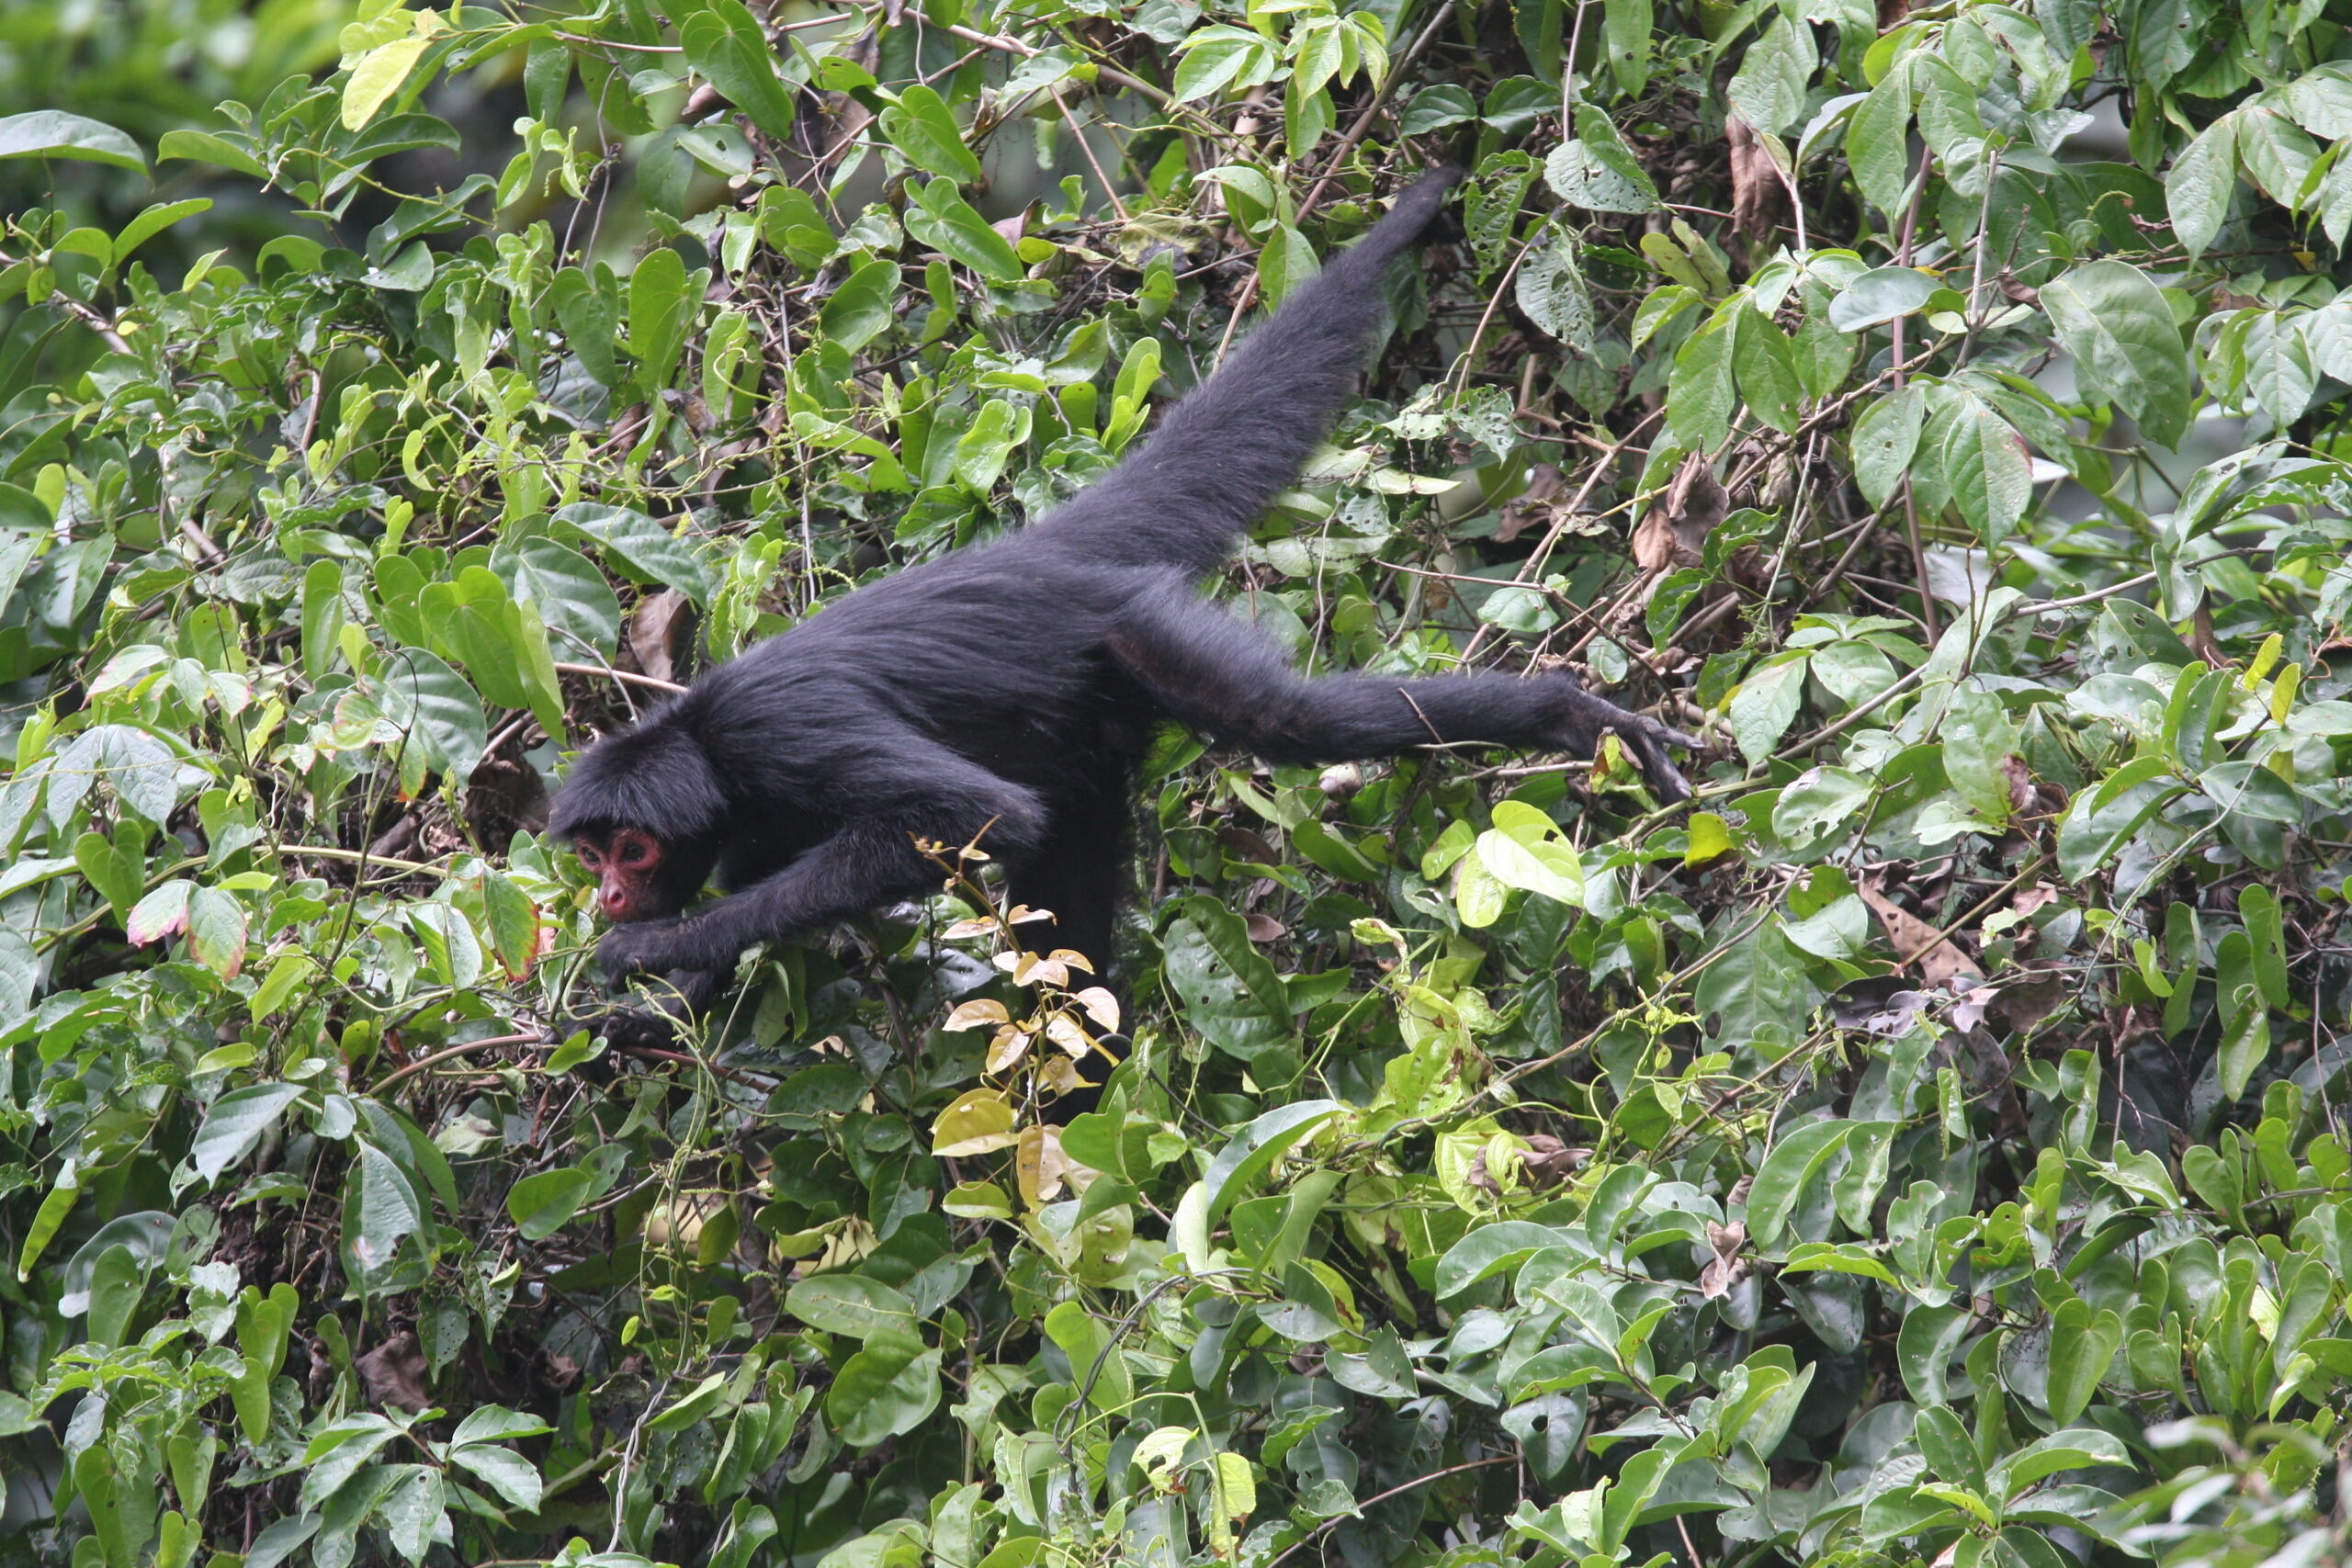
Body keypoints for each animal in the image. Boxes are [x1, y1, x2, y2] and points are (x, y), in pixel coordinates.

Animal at [552, 168, 1700, 1047]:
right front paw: (665, 1002)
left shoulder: (778, 733)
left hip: (1134, 635)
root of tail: (1047, 551)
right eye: (592, 856)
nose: (606, 894)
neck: (705, 742)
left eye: (629, 852)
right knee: (1070, 920)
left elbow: (964, 815)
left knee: (1286, 721)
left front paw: (655, 948)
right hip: (1087, 739)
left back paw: (1564, 712)